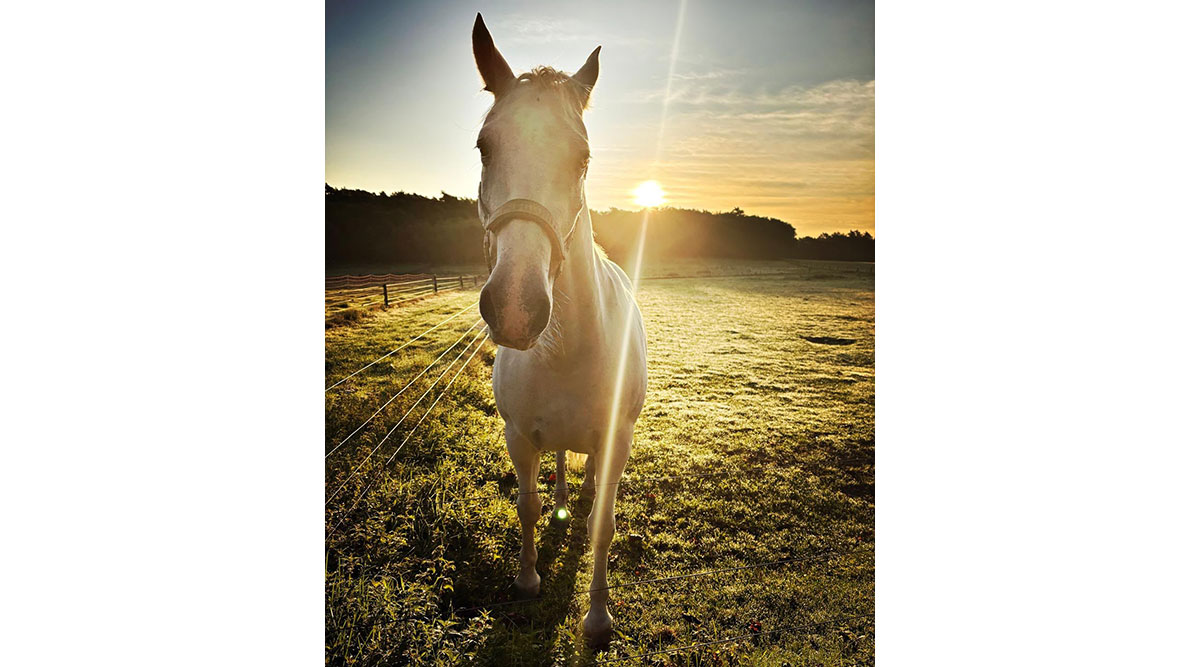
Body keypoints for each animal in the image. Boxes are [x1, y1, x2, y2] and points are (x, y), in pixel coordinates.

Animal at [471, 13, 648, 644]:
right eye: (485, 147)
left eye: (583, 158)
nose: (516, 307)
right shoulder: (518, 435)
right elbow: (526, 505)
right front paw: (527, 580)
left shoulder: (617, 440)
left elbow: (603, 524)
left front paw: (597, 617)